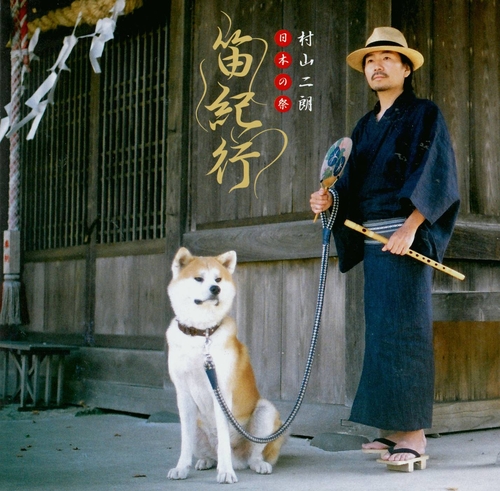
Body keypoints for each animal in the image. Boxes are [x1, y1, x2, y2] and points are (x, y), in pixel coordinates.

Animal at [166, 248, 286, 486]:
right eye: (199, 278)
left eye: (218, 279)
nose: (216, 289)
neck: (201, 335)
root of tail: (239, 459)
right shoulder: (183, 394)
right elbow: (185, 442)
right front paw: (181, 468)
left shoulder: (220, 392)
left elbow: (223, 440)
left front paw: (226, 472)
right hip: (197, 425)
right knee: (207, 451)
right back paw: (205, 461)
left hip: (265, 412)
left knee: (253, 455)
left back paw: (256, 464)